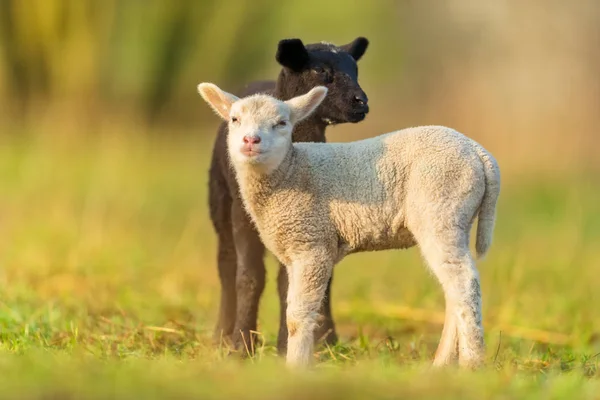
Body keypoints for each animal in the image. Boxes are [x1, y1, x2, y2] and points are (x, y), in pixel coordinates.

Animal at [197, 82, 502, 368]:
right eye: (235, 119)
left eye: (282, 123)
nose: (251, 140)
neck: (289, 172)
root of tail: (479, 153)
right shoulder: (297, 251)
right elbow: (297, 308)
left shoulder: (312, 244)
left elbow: (298, 316)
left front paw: (295, 367)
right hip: (456, 216)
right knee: (454, 289)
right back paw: (441, 364)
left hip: (440, 206)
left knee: (464, 284)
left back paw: (471, 363)